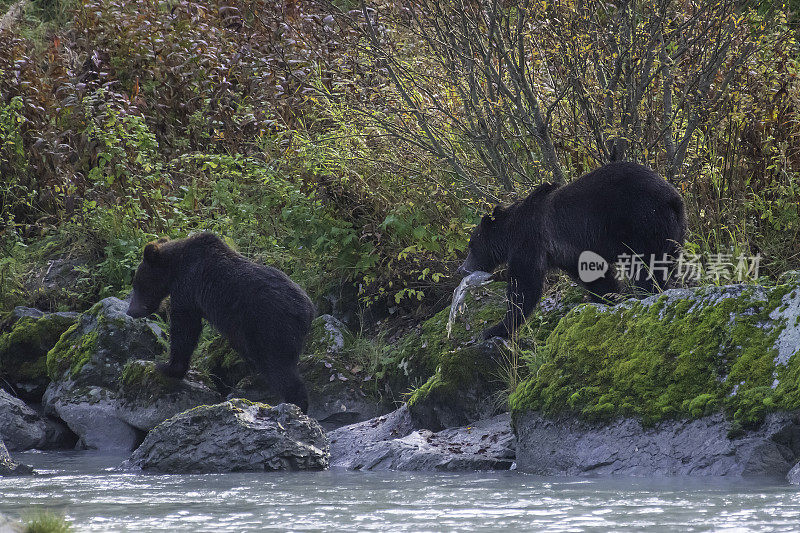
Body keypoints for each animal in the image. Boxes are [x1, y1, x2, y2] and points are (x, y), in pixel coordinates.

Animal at [126, 233, 316, 412]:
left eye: (137, 284)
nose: (130, 311)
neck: (175, 268)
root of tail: (309, 309)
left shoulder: (188, 287)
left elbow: (185, 327)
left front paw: (167, 367)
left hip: (271, 325)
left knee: (278, 365)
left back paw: (295, 403)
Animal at [460, 160, 684, 338]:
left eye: (471, 246)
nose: (461, 268)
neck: (509, 233)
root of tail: (672, 197)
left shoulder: (530, 241)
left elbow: (524, 286)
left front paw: (494, 329)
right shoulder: (568, 253)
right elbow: (597, 278)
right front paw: (607, 300)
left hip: (641, 221)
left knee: (644, 268)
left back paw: (648, 294)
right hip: (672, 232)